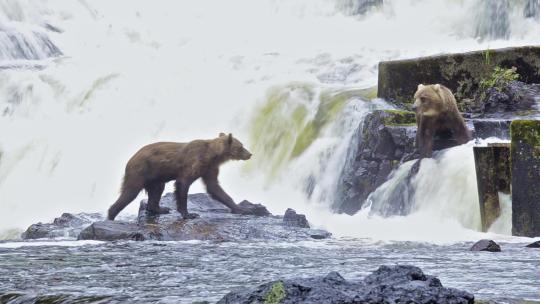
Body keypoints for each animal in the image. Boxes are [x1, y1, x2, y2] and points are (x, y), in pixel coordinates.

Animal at [109, 133, 253, 221]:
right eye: (241, 146)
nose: (250, 154)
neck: (213, 155)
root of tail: (130, 159)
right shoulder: (195, 162)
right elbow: (183, 184)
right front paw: (189, 214)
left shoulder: (209, 168)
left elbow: (214, 188)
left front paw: (242, 209)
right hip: (140, 171)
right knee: (129, 193)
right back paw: (111, 215)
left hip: (155, 177)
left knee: (157, 190)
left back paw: (161, 209)